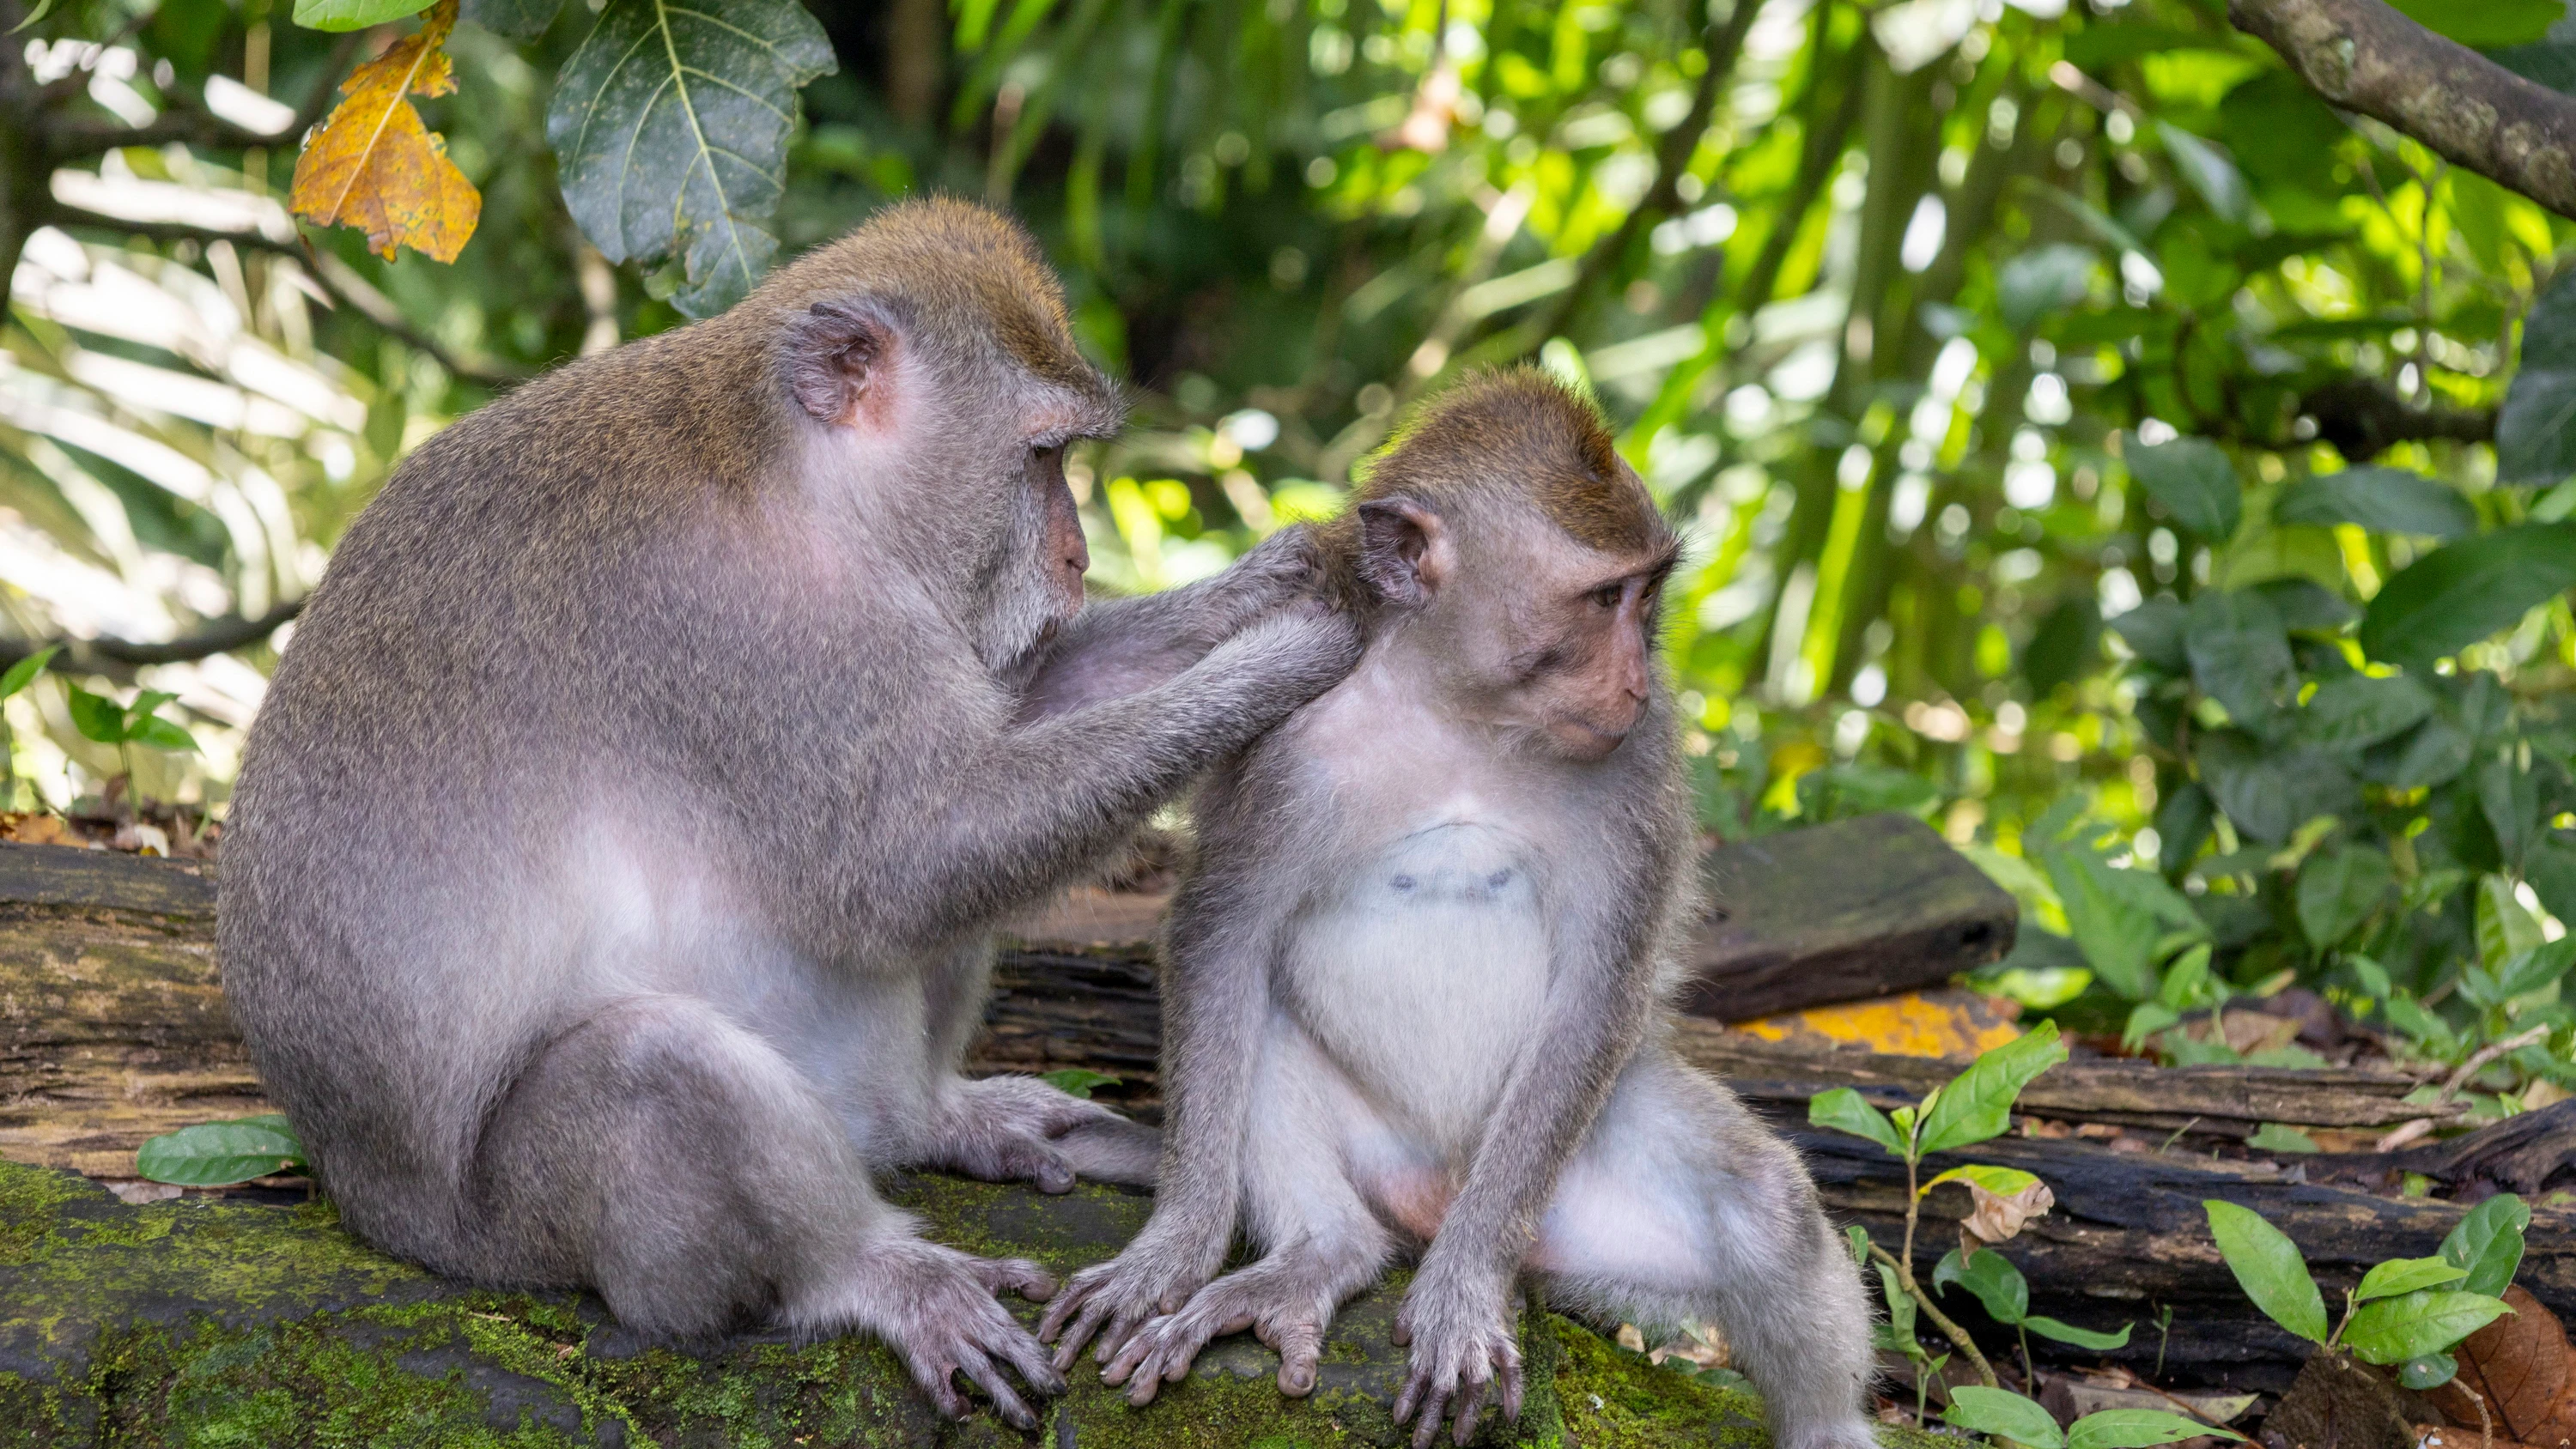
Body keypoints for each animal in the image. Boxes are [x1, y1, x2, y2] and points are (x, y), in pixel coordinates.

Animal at [217, 198, 1362, 1431]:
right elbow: (912, 856)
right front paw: (1285, 658)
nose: (1075, 554)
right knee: (652, 1069)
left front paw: (1275, 578)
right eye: (1042, 457)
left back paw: (938, 1118)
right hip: (513, 1229)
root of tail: (365, 1199)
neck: (800, 479)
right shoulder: (753, 629)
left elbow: (993, 742)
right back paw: (869, 1271)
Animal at [1038, 369, 1880, 1449]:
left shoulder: (1638, 761)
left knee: (1767, 1205)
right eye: (1603, 598)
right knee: (1260, 1023)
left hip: (1571, 1189)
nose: (1636, 676)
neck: (1463, 715)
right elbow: (1221, 937)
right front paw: (1175, 1246)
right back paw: (1317, 1255)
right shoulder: (1287, 744)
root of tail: (1428, 1201)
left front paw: (1465, 1292)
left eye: (1647, 593)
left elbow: (1599, 989)